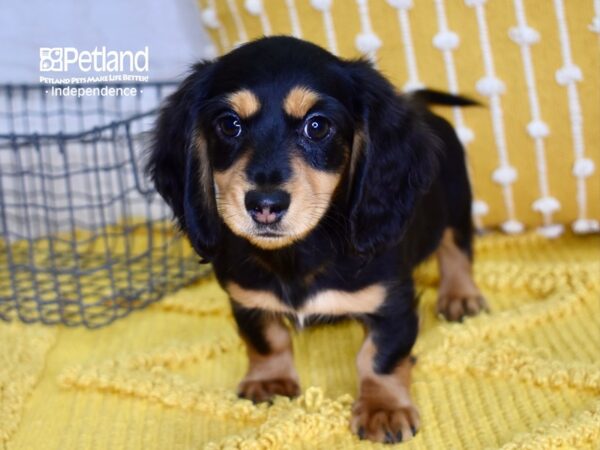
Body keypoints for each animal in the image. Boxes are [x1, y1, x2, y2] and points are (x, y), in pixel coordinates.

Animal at [146, 36, 488, 442]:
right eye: (229, 125)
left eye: (317, 126)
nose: (264, 205)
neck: (298, 253)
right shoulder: (246, 299)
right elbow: (266, 339)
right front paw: (270, 380)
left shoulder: (393, 303)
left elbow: (379, 357)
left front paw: (383, 409)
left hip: (457, 206)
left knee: (456, 251)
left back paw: (460, 296)